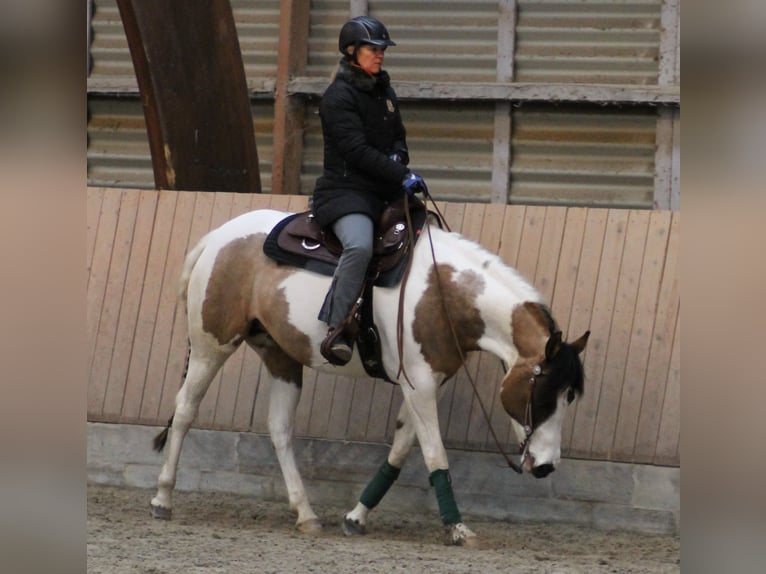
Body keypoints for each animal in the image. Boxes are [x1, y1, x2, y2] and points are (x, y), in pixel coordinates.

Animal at [149, 207, 589, 546]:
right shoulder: (420, 384)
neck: (441, 293)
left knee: (280, 429)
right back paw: (162, 498)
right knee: (185, 410)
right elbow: (435, 454)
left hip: (280, 356)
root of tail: (218, 237)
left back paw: (306, 514)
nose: (546, 466)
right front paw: (458, 528)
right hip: (212, 345)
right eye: (544, 394)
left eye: (570, 396)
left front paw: (356, 516)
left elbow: (401, 448)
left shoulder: (424, 383)